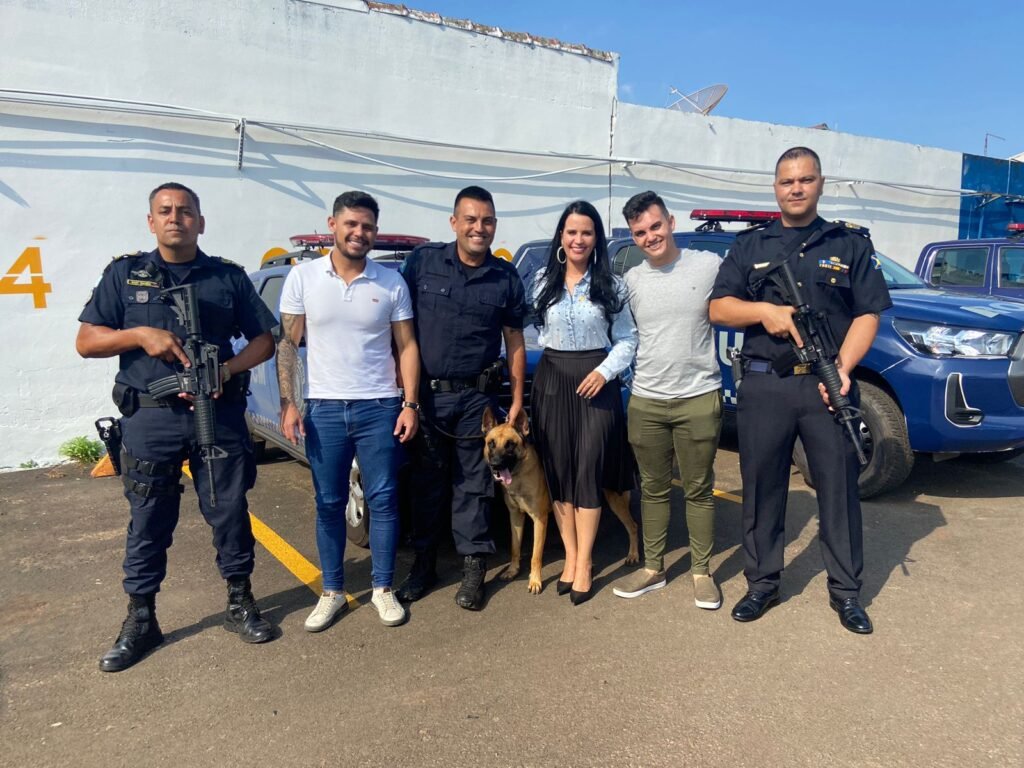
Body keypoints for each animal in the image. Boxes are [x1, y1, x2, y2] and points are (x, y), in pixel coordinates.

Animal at [481, 409, 638, 593]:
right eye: (491, 443)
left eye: (510, 445)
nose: (495, 465)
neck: (519, 473)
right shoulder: (515, 516)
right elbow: (515, 547)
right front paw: (513, 569)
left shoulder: (540, 519)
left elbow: (536, 555)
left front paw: (535, 581)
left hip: (615, 500)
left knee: (633, 526)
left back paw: (633, 555)